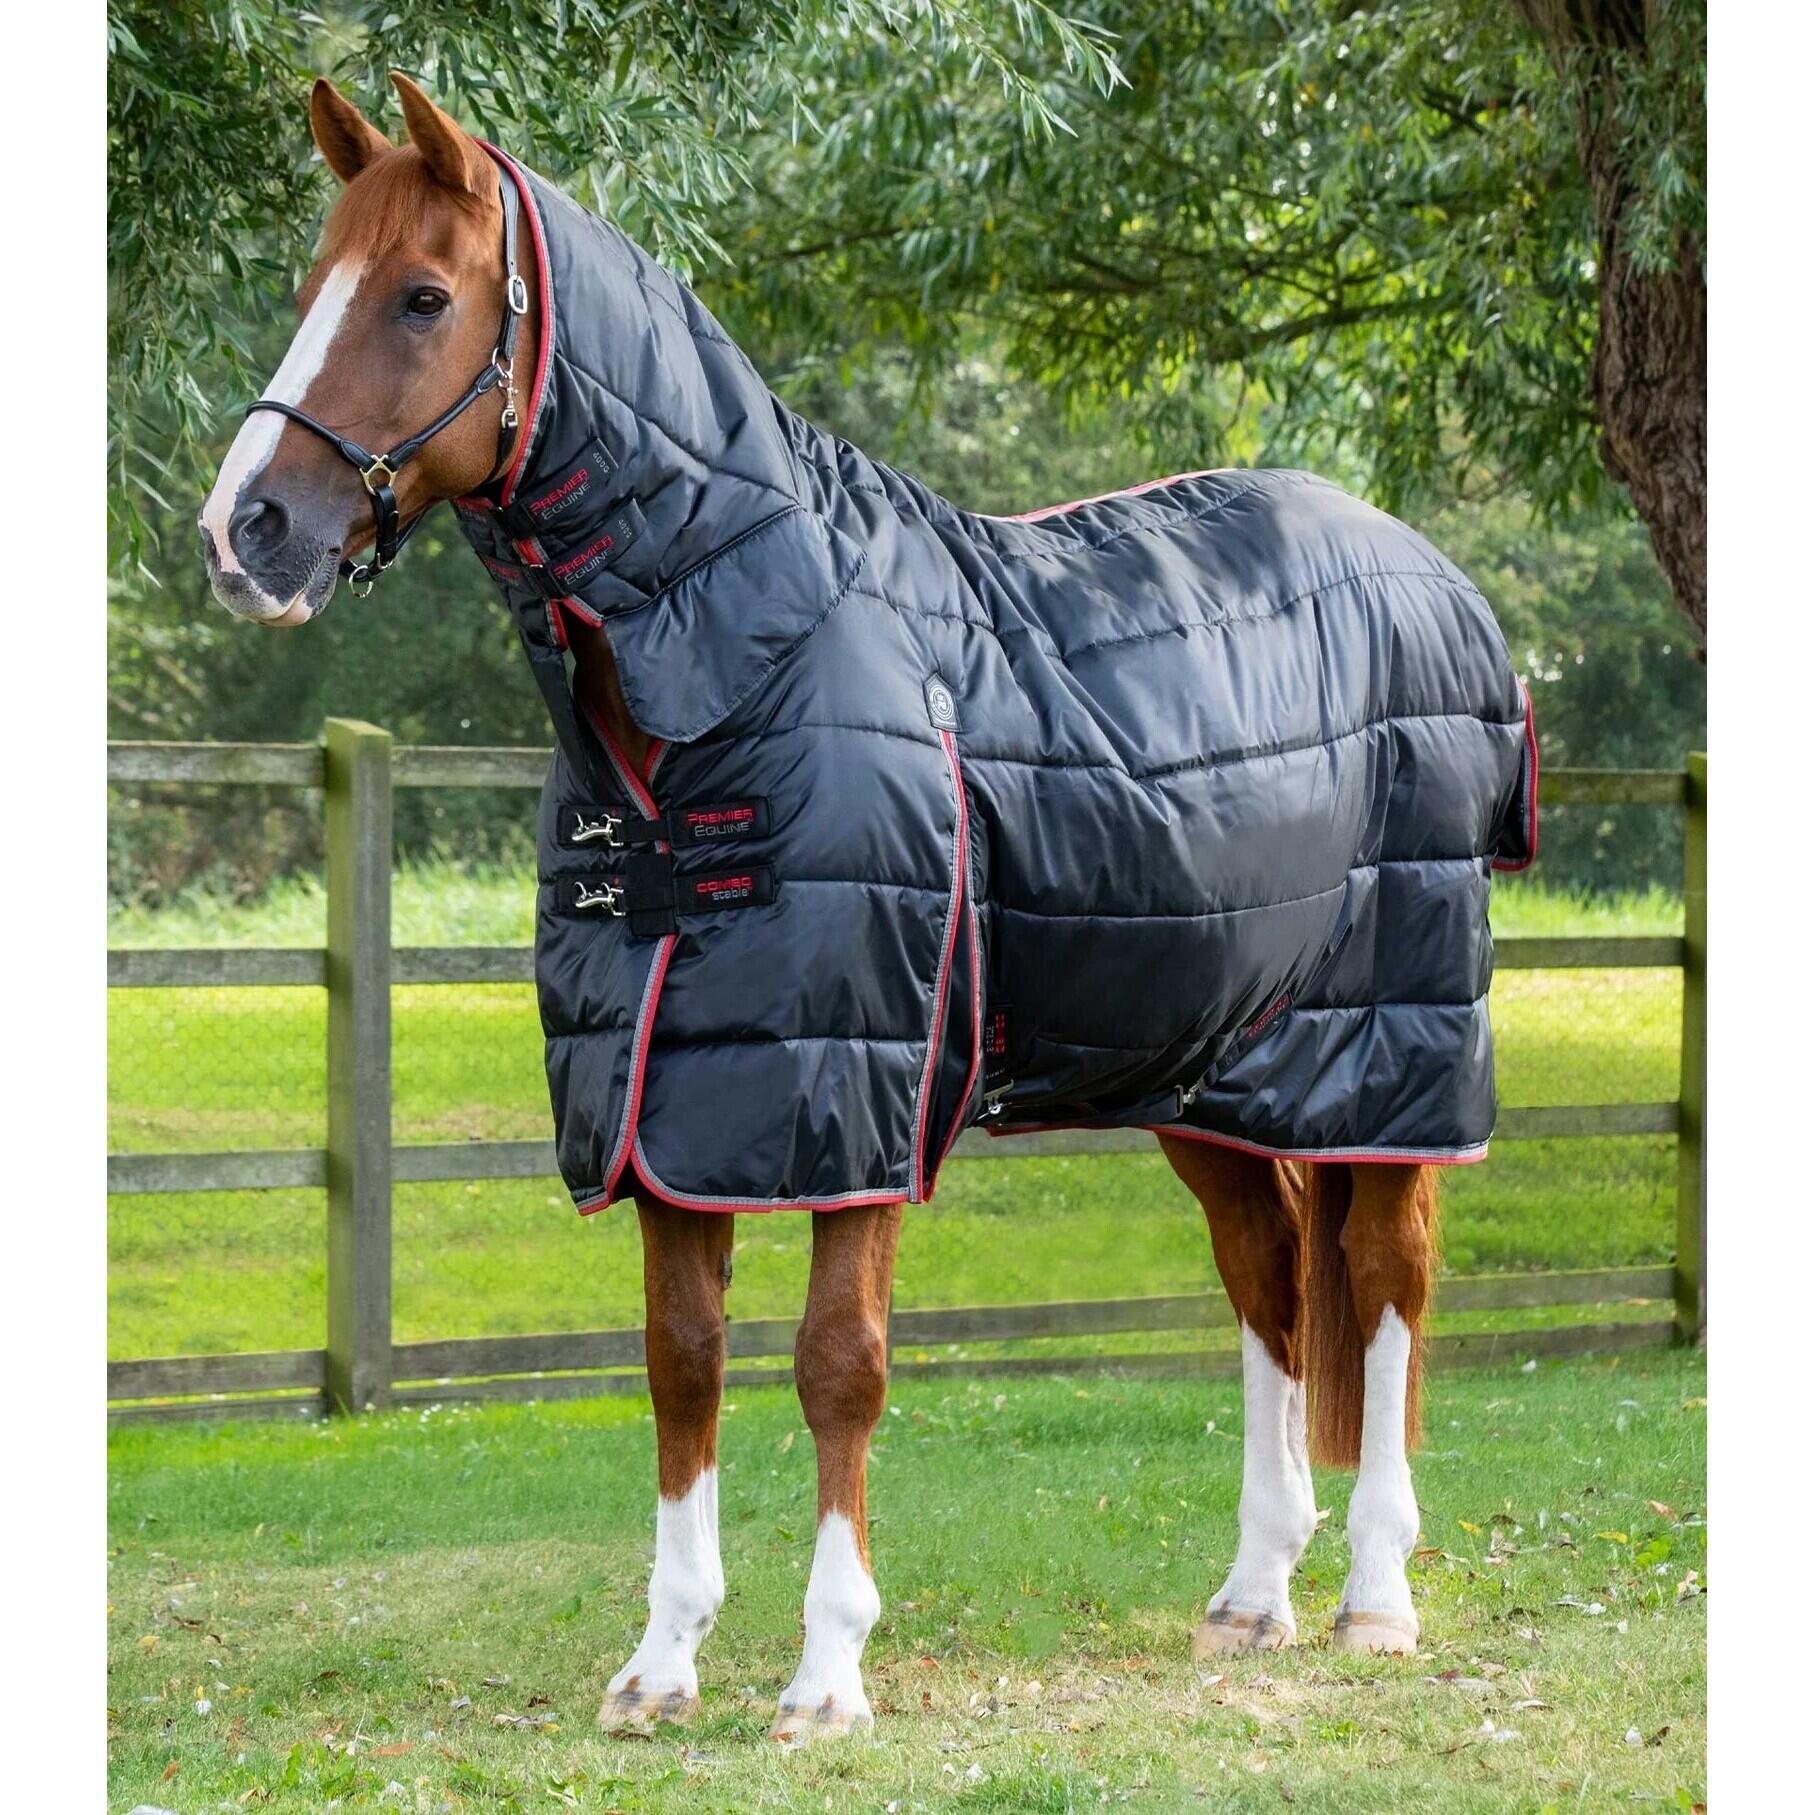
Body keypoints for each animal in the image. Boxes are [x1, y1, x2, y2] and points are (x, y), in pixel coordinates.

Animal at [198, 74, 1518, 1742]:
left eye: (423, 296)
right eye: (314, 284)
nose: (245, 531)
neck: (747, 650)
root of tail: (1431, 578)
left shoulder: (855, 1093)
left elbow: (837, 1364)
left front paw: (826, 1672)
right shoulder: (670, 1101)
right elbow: (681, 1360)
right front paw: (661, 1660)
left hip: (1395, 1055)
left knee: (1387, 1284)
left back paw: (1373, 1596)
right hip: (1213, 1067)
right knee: (1269, 1281)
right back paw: (1252, 1592)